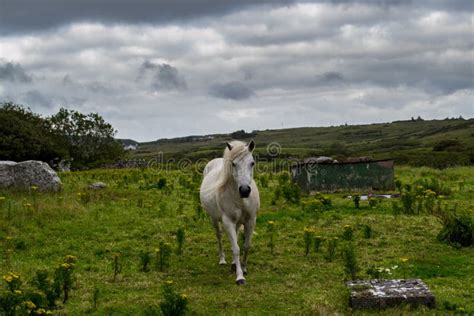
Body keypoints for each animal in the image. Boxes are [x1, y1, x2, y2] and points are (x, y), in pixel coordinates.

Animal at [199, 139, 262, 286]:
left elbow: (246, 245)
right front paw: (240, 277)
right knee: (219, 236)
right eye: (233, 164)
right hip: (214, 219)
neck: (241, 200)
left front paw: (244, 269)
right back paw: (222, 260)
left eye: (252, 163)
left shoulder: (251, 220)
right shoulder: (228, 222)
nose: (245, 190)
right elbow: (236, 248)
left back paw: (233, 263)